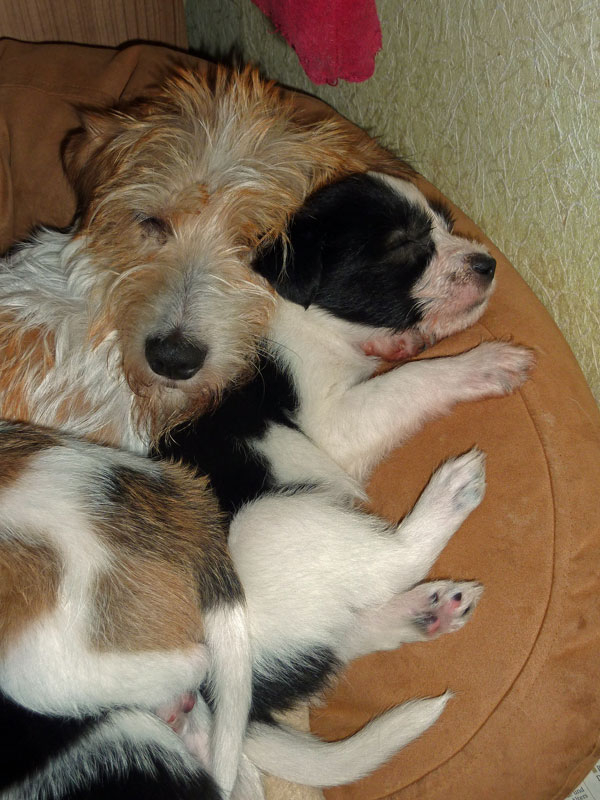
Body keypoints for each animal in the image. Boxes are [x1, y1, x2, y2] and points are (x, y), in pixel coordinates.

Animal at [155, 172, 533, 790]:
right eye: (402, 245)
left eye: (445, 225)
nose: (486, 264)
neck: (310, 319)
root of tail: (224, 699)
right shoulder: (333, 419)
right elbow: (411, 382)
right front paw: (481, 364)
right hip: (267, 524)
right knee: (392, 562)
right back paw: (450, 493)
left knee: (344, 630)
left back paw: (425, 611)